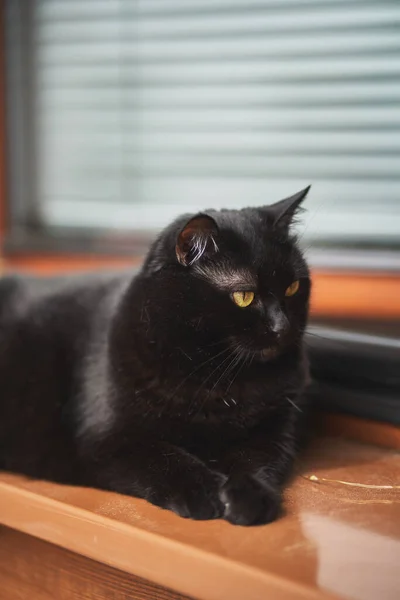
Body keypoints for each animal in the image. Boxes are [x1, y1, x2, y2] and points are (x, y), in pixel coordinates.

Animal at [0, 188, 312, 524]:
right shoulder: (107, 441)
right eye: (244, 296)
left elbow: (258, 460)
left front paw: (250, 497)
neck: (217, 374)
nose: (282, 327)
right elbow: (164, 458)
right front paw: (204, 492)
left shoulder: (275, 430)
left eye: (293, 287)